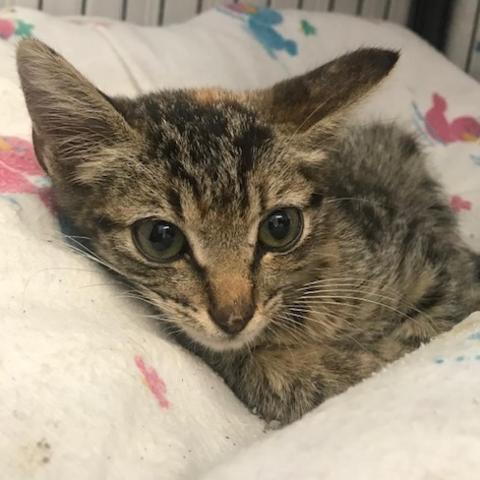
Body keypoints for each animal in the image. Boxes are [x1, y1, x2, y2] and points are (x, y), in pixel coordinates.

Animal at [16, 40, 480, 424]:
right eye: (159, 238)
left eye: (280, 227)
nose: (234, 317)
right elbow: (285, 377)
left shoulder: (443, 271)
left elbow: (428, 329)